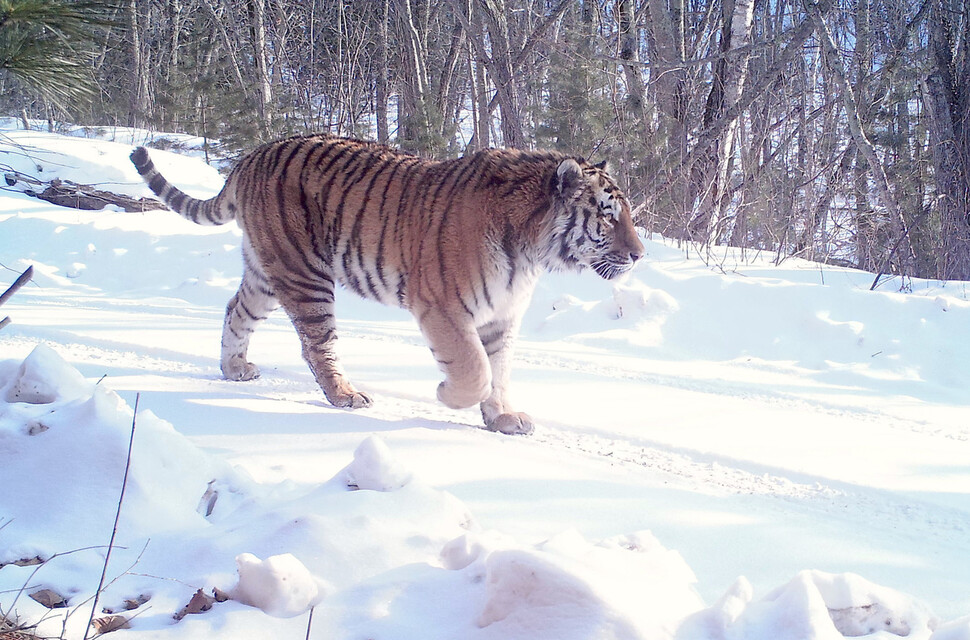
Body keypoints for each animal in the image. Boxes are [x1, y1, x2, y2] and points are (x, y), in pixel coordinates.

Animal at [129, 135, 644, 436]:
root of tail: (254, 154)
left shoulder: (502, 315)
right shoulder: (442, 306)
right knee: (317, 344)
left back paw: (234, 368)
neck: (531, 251)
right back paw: (344, 394)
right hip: (304, 273)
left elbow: (499, 370)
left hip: (266, 272)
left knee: (236, 309)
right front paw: (448, 396)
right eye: (607, 215)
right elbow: (474, 368)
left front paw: (501, 417)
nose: (640, 255)